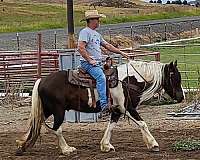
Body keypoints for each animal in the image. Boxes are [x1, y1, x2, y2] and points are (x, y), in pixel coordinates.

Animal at [15, 59, 184, 155]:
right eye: (175, 77)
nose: (181, 97)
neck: (129, 80)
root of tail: (42, 81)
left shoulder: (117, 110)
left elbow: (111, 126)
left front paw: (106, 145)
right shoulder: (127, 108)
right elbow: (142, 124)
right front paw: (153, 144)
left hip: (47, 110)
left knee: (34, 126)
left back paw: (22, 147)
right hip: (58, 111)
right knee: (57, 129)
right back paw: (67, 149)